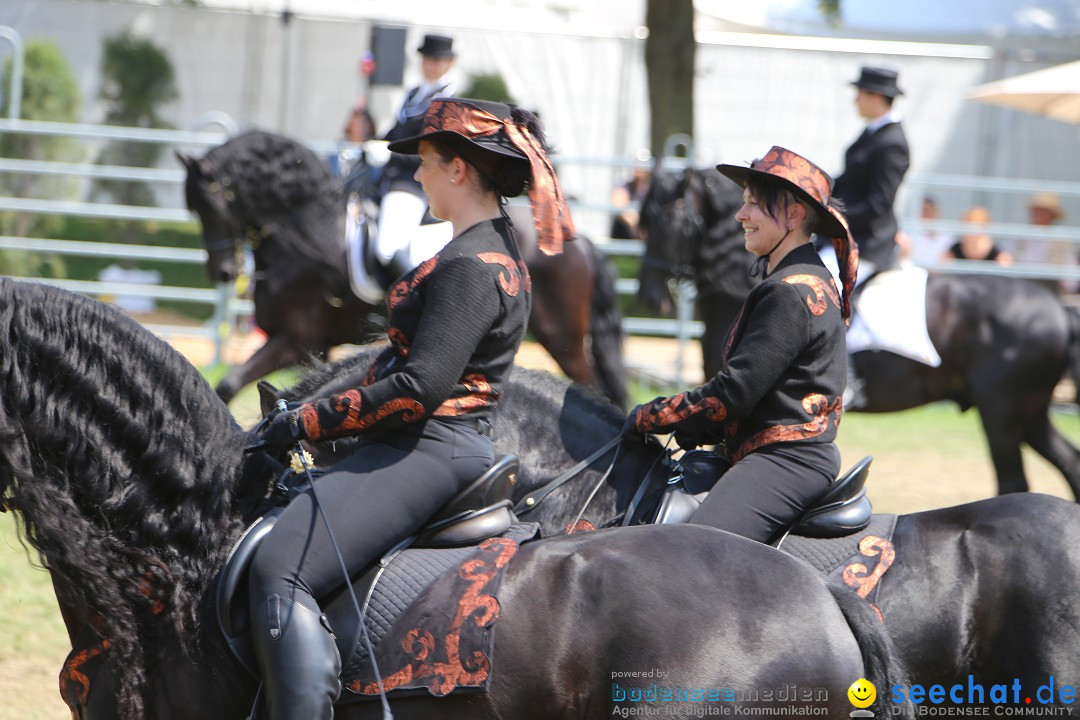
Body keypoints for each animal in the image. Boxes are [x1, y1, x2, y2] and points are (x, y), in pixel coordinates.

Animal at [181, 130, 630, 408]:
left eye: (211, 204)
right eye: (193, 208)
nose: (223, 272)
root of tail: (581, 242)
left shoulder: (294, 340)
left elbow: (229, 383)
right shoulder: (310, 347)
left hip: (561, 334)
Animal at [635, 165, 1080, 498]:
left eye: (669, 220)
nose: (649, 298)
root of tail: (1057, 309)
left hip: (1001, 414)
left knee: (1013, 482)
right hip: (1031, 413)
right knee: (1068, 464)